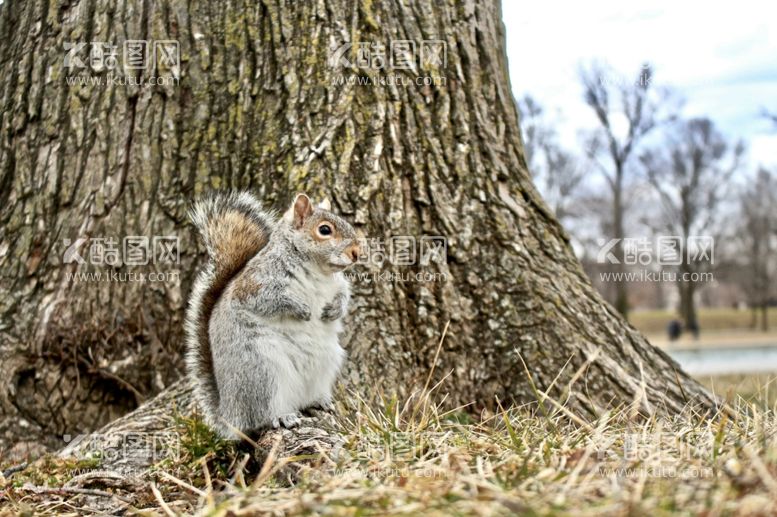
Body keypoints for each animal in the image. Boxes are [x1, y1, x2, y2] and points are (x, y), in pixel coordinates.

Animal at [185, 191, 360, 438]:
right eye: (325, 230)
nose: (357, 253)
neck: (318, 270)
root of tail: (230, 414)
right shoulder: (255, 286)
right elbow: (270, 301)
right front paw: (302, 309)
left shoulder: (337, 285)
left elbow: (344, 295)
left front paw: (333, 310)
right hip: (262, 371)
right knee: (262, 414)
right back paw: (283, 416)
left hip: (326, 362)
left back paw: (319, 401)